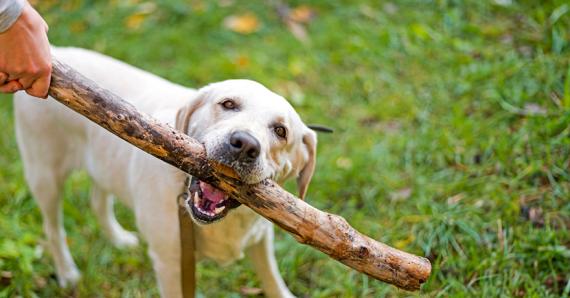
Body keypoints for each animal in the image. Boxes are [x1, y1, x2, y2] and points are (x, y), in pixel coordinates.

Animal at [13, 47, 316, 298]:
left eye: (280, 131)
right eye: (228, 104)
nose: (244, 145)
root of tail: (55, 51)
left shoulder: (261, 239)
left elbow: (273, 281)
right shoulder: (170, 263)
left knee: (98, 199)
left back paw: (118, 238)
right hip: (44, 175)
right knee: (52, 228)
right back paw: (67, 273)